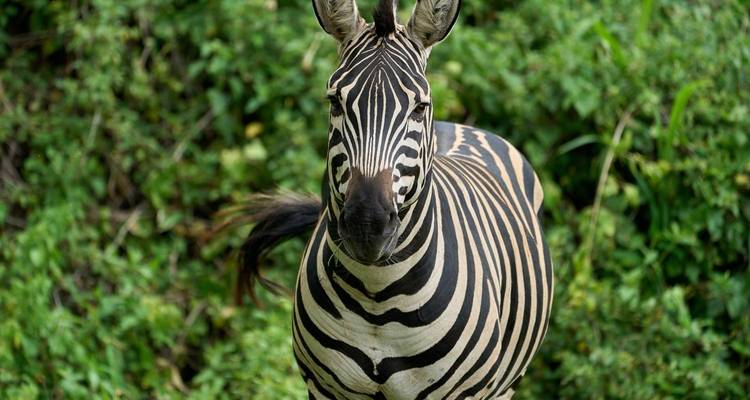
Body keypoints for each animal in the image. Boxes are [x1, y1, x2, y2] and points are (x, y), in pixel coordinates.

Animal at [235, 0, 553, 398]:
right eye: (335, 102)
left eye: (419, 107)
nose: (366, 225)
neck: (378, 297)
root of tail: (461, 127)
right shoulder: (323, 387)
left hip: (506, 385)